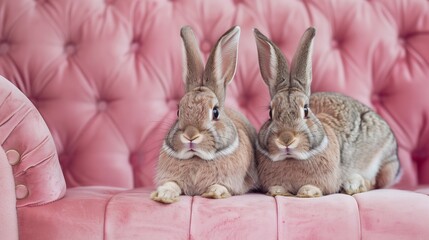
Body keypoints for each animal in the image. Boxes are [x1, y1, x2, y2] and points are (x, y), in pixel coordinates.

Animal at [150, 25, 258, 203]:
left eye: (215, 112)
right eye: (178, 111)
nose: (190, 135)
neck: (197, 158)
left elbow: (223, 186)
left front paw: (215, 192)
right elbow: (171, 184)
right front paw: (164, 195)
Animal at [252, 27, 400, 198]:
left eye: (306, 110)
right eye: (270, 113)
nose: (286, 139)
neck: (291, 158)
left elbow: (316, 188)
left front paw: (307, 192)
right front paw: (277, 191)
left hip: (383, 164)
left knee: (375, 183)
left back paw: (353, 185)